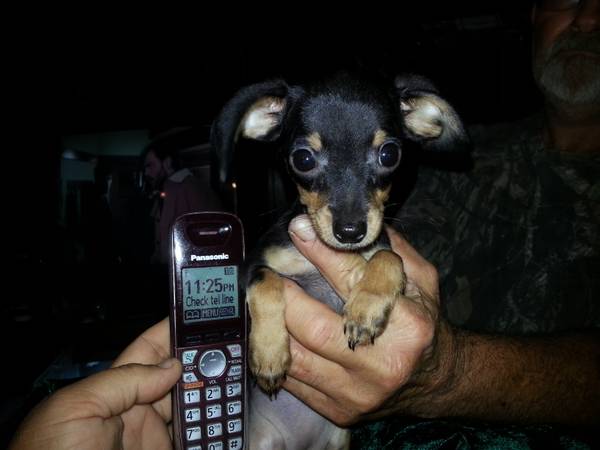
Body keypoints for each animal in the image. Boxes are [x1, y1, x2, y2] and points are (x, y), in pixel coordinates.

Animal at [211, 73, 468, 450]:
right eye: (303, 159)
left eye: (390, 154)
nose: (350, 232)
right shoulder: (249, 269)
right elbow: (266, 279)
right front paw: (269, 353)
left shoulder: (386, 254)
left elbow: (388, 257)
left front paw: (364, 310)